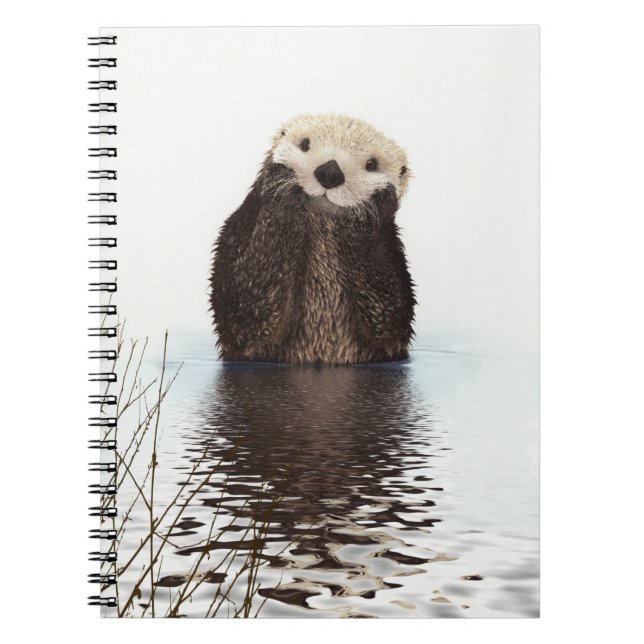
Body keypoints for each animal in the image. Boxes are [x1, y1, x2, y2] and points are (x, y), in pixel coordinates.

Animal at [209, 113, 416, 364]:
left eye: (371, 164)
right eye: (305, 144)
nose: (330, 172)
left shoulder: (393, 258)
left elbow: (390, 316)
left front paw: (373, 206)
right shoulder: (238, 229)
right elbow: (244, 306)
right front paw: (281, 185)